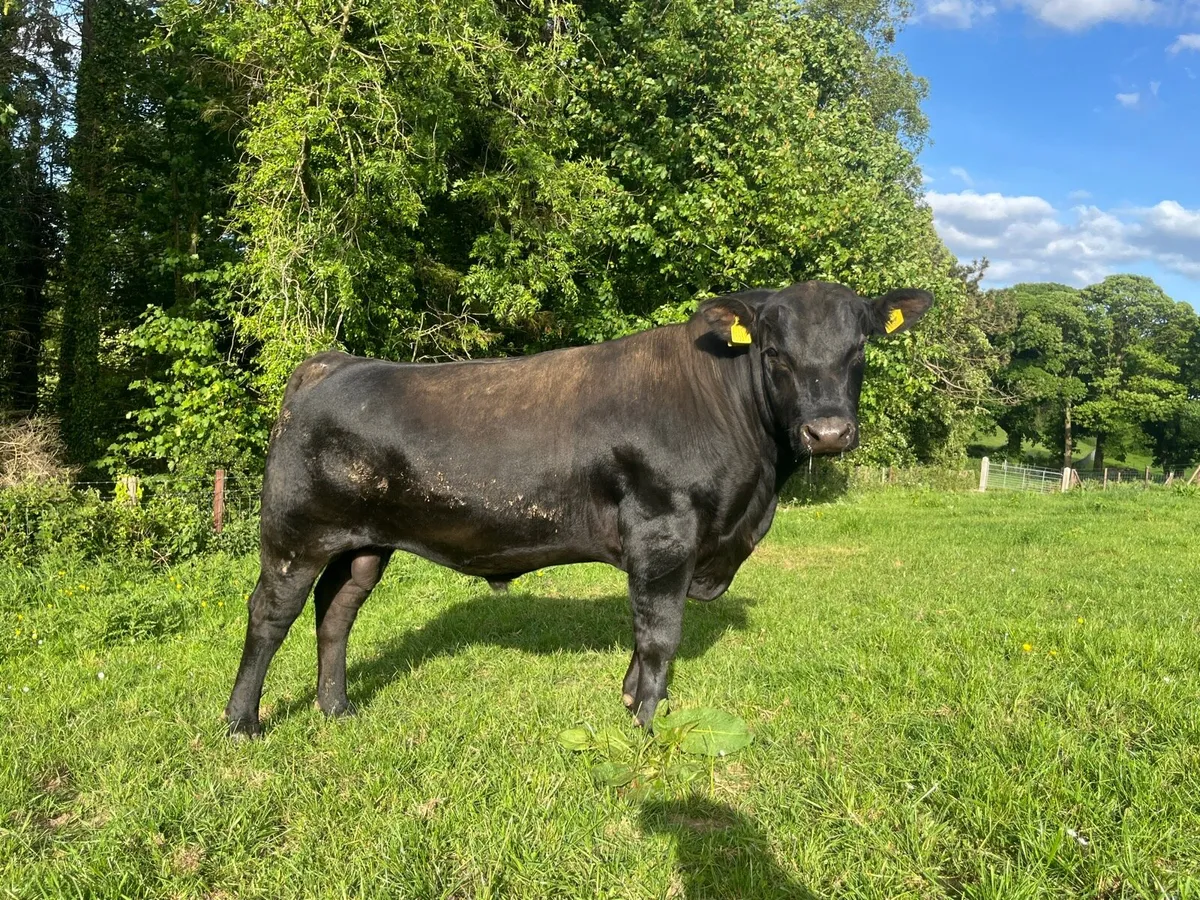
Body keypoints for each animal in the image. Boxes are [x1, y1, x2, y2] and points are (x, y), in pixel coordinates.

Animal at [224, 280, 932, 737]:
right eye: (775, 352)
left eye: (859, 351)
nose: (828, 433)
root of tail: (329, 363)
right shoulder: (664, 530)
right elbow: (660, 632)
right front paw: (644, 725)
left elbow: (645, 634)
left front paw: (627, 700)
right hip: (294, 535)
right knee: (269, 616)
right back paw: (243, 722)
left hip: (365, 541)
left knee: (336, 610)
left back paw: (336, 708)